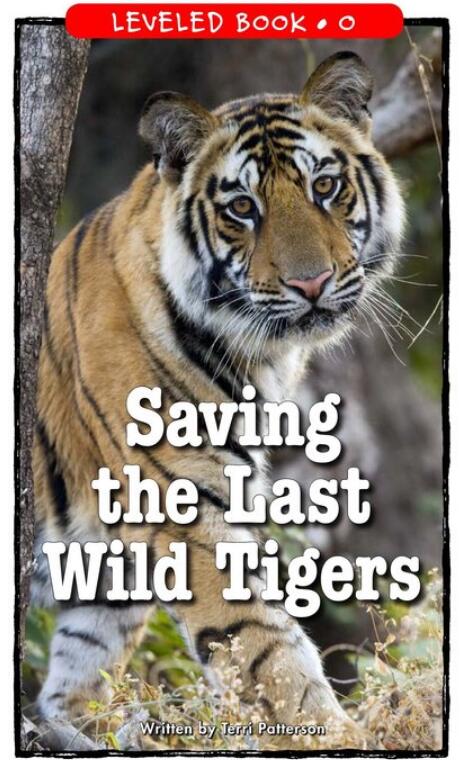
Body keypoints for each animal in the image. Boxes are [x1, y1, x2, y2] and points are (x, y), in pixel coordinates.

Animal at [31, 51, 405, 730]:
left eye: (324, 187)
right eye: (242, 208)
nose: (312, 284)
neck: (263, 358)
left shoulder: (109, 564)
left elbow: (82, 666)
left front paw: (91, 727)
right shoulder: (183, 508)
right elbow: (265, 647)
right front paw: (329, 731)